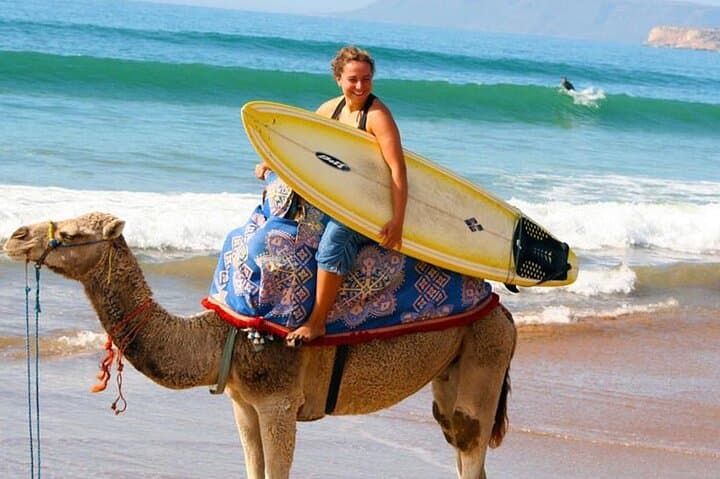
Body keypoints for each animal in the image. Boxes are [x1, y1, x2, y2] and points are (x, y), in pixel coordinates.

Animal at [4, 212, 517, 479]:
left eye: (71, 234)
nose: (15, 236)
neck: (220, 336)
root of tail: (502, 309)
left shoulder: (279, 402)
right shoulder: (243, 404)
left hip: (486, 356)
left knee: (470, 442)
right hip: (454, 369)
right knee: (457, 440)